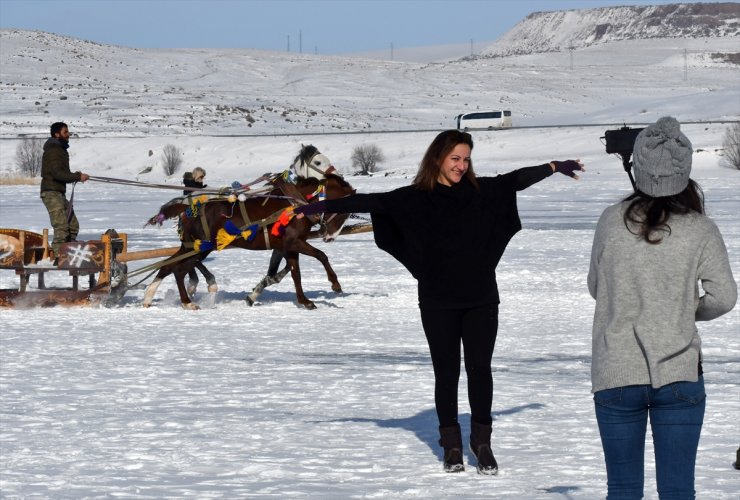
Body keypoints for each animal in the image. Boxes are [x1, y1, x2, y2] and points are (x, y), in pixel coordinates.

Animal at [144, 175, 356, 308]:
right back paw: (187, 302)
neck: (297, 205)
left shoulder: (288, 247)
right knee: (179, 270)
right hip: (199, 248)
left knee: (168, 266)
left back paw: (149, 297)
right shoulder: (294, 243)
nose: (329, 236)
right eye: (343, 210)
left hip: (192, 246)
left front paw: (304, 301)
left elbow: (294, 274)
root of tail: (188, 209)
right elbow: (321, 256)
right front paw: (335, 284)